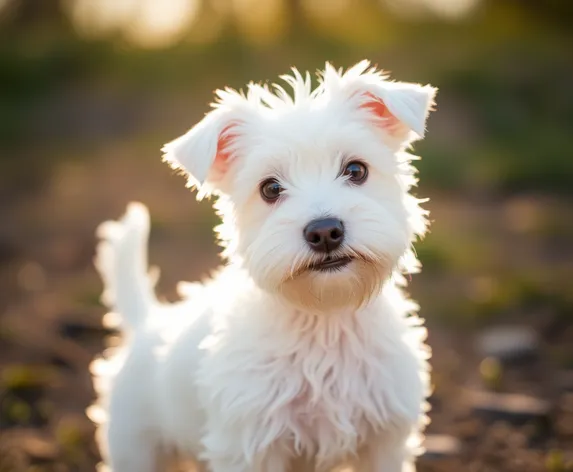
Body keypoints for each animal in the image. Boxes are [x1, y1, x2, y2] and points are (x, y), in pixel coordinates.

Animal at [89, 60, 436, 472]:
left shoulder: (385, 441)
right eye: (270, 188)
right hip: (136, 449)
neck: (324, 321)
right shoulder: (249, 447)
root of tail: (147, 322)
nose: (324, 231)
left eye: (356, 170)